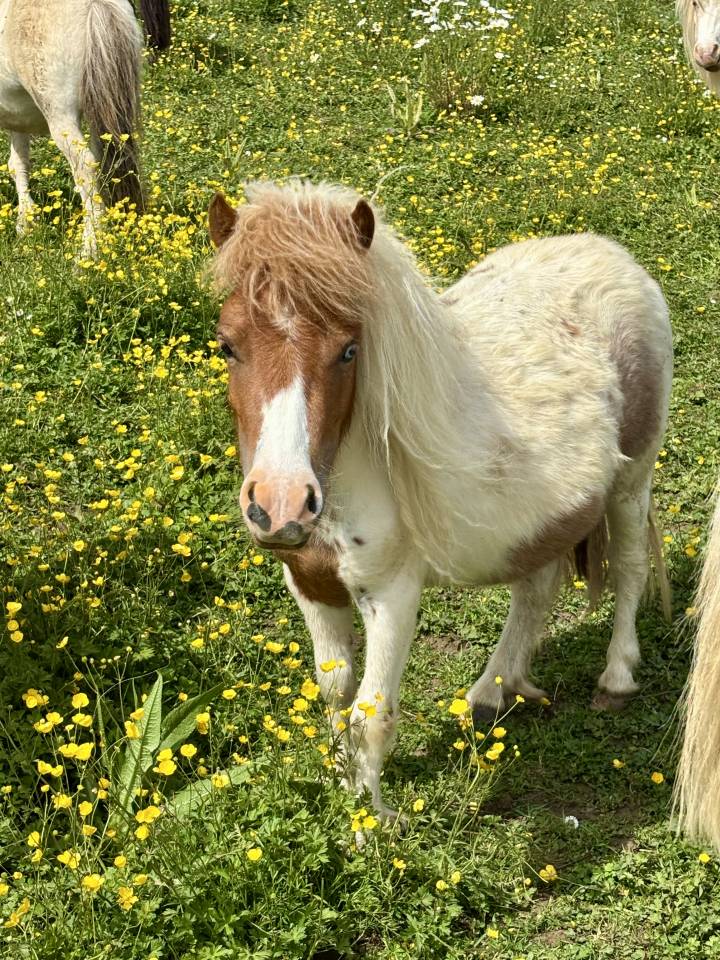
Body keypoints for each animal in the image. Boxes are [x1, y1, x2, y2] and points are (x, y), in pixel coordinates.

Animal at [1, 0, 144, 257]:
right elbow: (18, 164)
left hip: (61, 117)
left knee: (85, 168)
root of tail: (94, 5)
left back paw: (89, 252)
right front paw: (25, 225)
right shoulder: (16, 118)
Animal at [208, 180, 673, 820]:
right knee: (535, 589)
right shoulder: (310, 586)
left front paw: (371, 825)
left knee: (628, 569)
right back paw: (491, 694)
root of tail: (615, 257)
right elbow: (334, 696)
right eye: (227, 345)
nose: (281, 504)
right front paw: (341, 790)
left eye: (349, 350)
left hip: (632, 481)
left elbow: (371, 715)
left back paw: (616, 679)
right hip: (544, 520)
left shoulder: (392, 595)